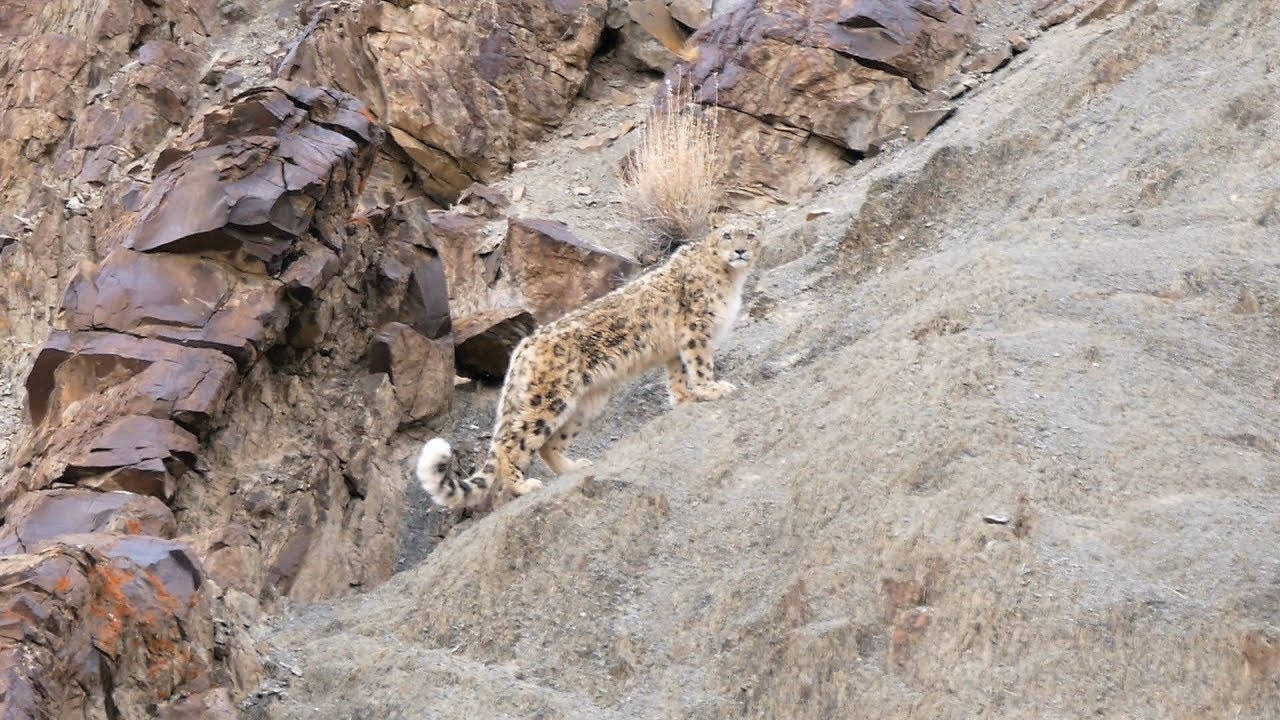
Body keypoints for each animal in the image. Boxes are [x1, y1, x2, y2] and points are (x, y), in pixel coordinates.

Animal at [416, 220, 760, 509]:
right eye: (727, 234)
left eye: (751, 234)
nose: (740, 251)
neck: (731, 281)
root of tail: (524, 348)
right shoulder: (695, 329)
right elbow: (700, 364)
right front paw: (712, 389)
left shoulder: (676, 348)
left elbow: (677, 375)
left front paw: (685, 399)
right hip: (548, 399)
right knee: (511, 445)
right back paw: (524, 486)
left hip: (584, 403)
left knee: (548, 444)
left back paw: (573, 467)